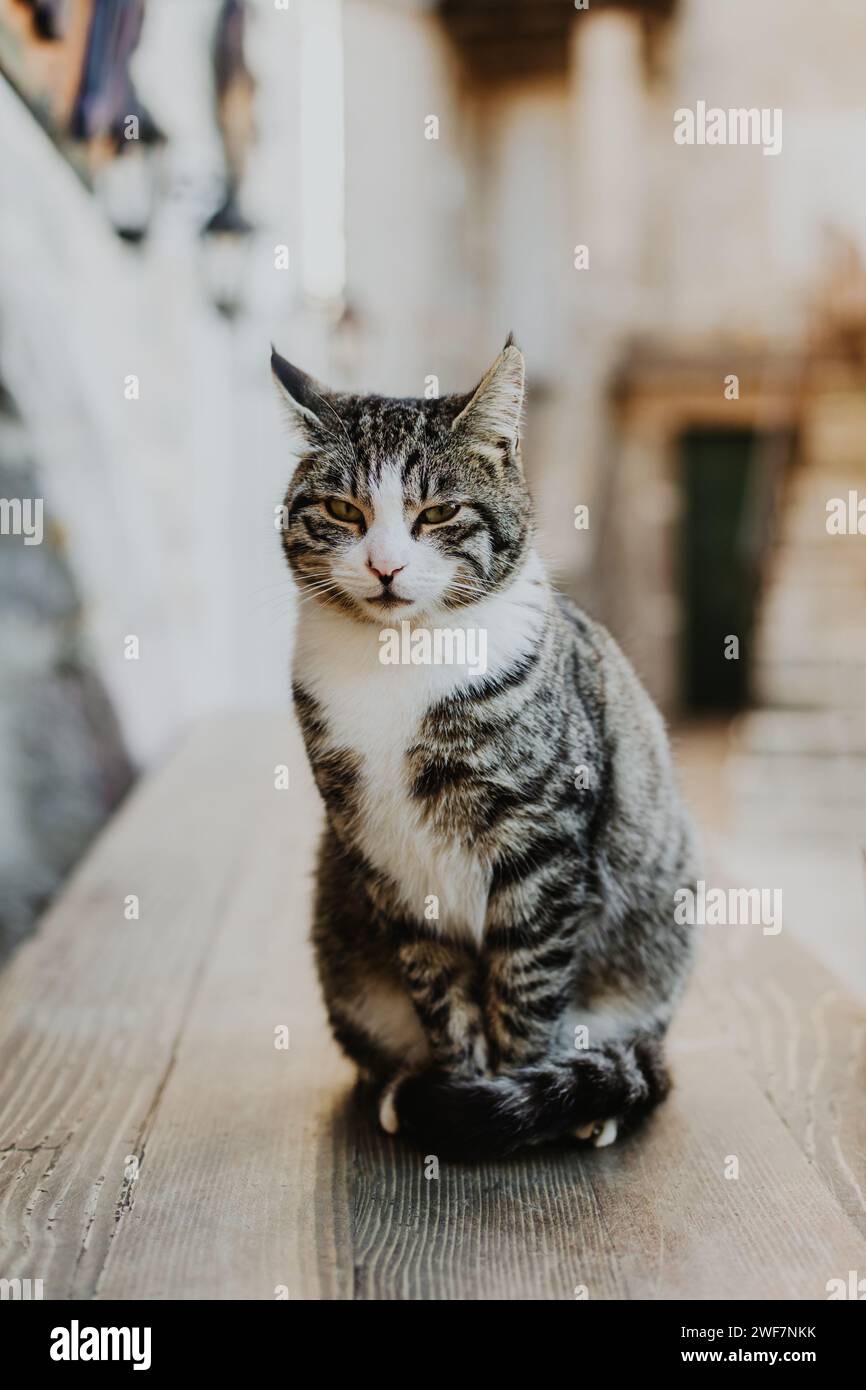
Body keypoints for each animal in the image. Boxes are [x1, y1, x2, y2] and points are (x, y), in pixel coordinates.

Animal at [273, 336, 700, 1162]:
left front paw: (510, 1103)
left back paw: (593, 1100)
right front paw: (459, 1088)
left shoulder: (543, 842)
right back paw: (397, 1089)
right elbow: (441, 991)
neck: (400, 661)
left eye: (438, 512)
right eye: (343, 509)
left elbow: (527, 986)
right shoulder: (383, 852)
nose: (384, 566)